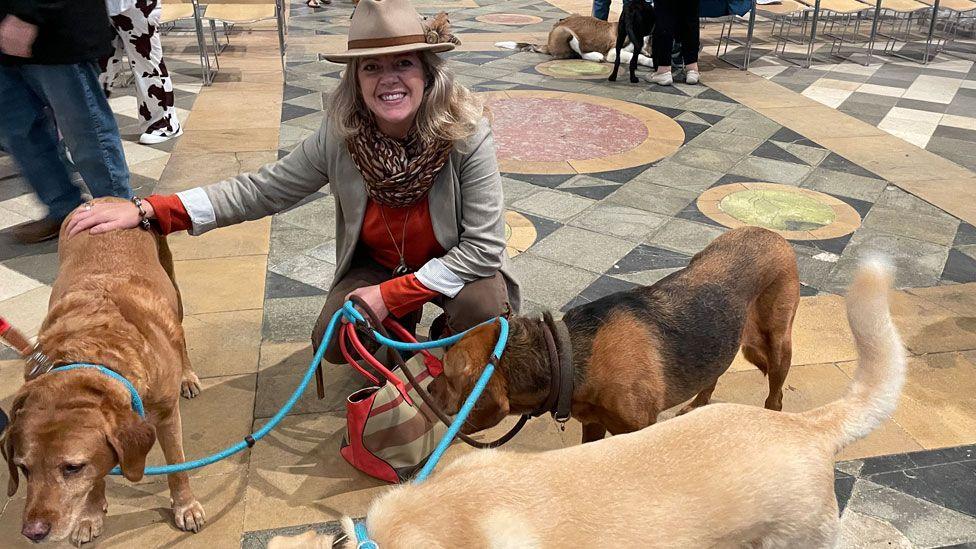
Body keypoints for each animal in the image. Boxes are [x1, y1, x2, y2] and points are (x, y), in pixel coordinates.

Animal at [0, 197, 204, 544]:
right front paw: (91, 514)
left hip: (173, 291)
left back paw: (187, 376)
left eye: (71, 467)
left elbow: (177, 465)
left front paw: (185, 507)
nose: (33, 533)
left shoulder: (166, 416)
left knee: (181, 335)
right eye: (24, 468)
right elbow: (97, 478)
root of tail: (104, 199)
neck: (96, 355)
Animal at [430, 225, 796, 444]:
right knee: (713, 374)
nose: (429, 391)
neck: (564, 355)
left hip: (778, 343)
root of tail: (771, 232)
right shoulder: (593, 425)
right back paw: (697, 405)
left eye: (446, 372)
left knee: (775, 398)